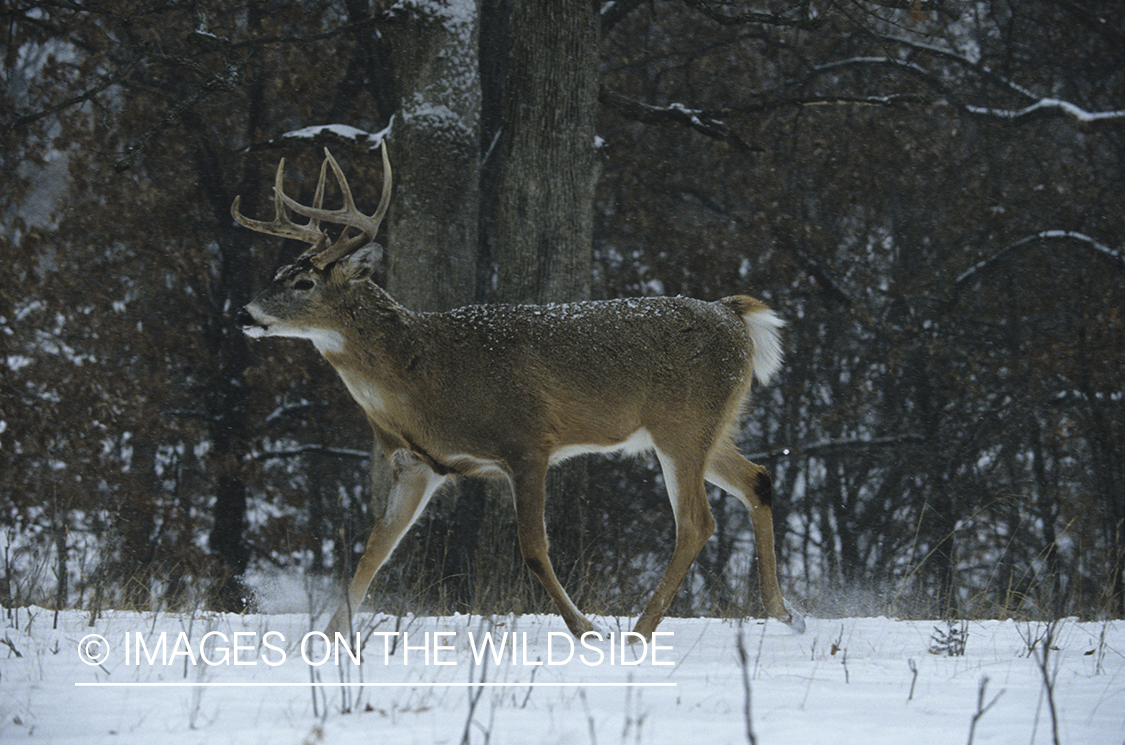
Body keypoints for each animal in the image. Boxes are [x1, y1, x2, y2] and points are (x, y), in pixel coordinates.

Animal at [232, 142, 805, 639]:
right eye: (279, 270)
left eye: (304, 283)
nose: (244, 313)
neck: (422, 381)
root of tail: (734, 316)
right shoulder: (417, 462)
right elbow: (372, 552)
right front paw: (325, 641)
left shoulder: (527, 440)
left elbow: (533, 549)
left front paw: (585, 629)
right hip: (709, 426)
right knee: (758, 479)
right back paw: (783, 613)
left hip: (682, 425)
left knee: (696, 521)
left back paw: (640, 632)